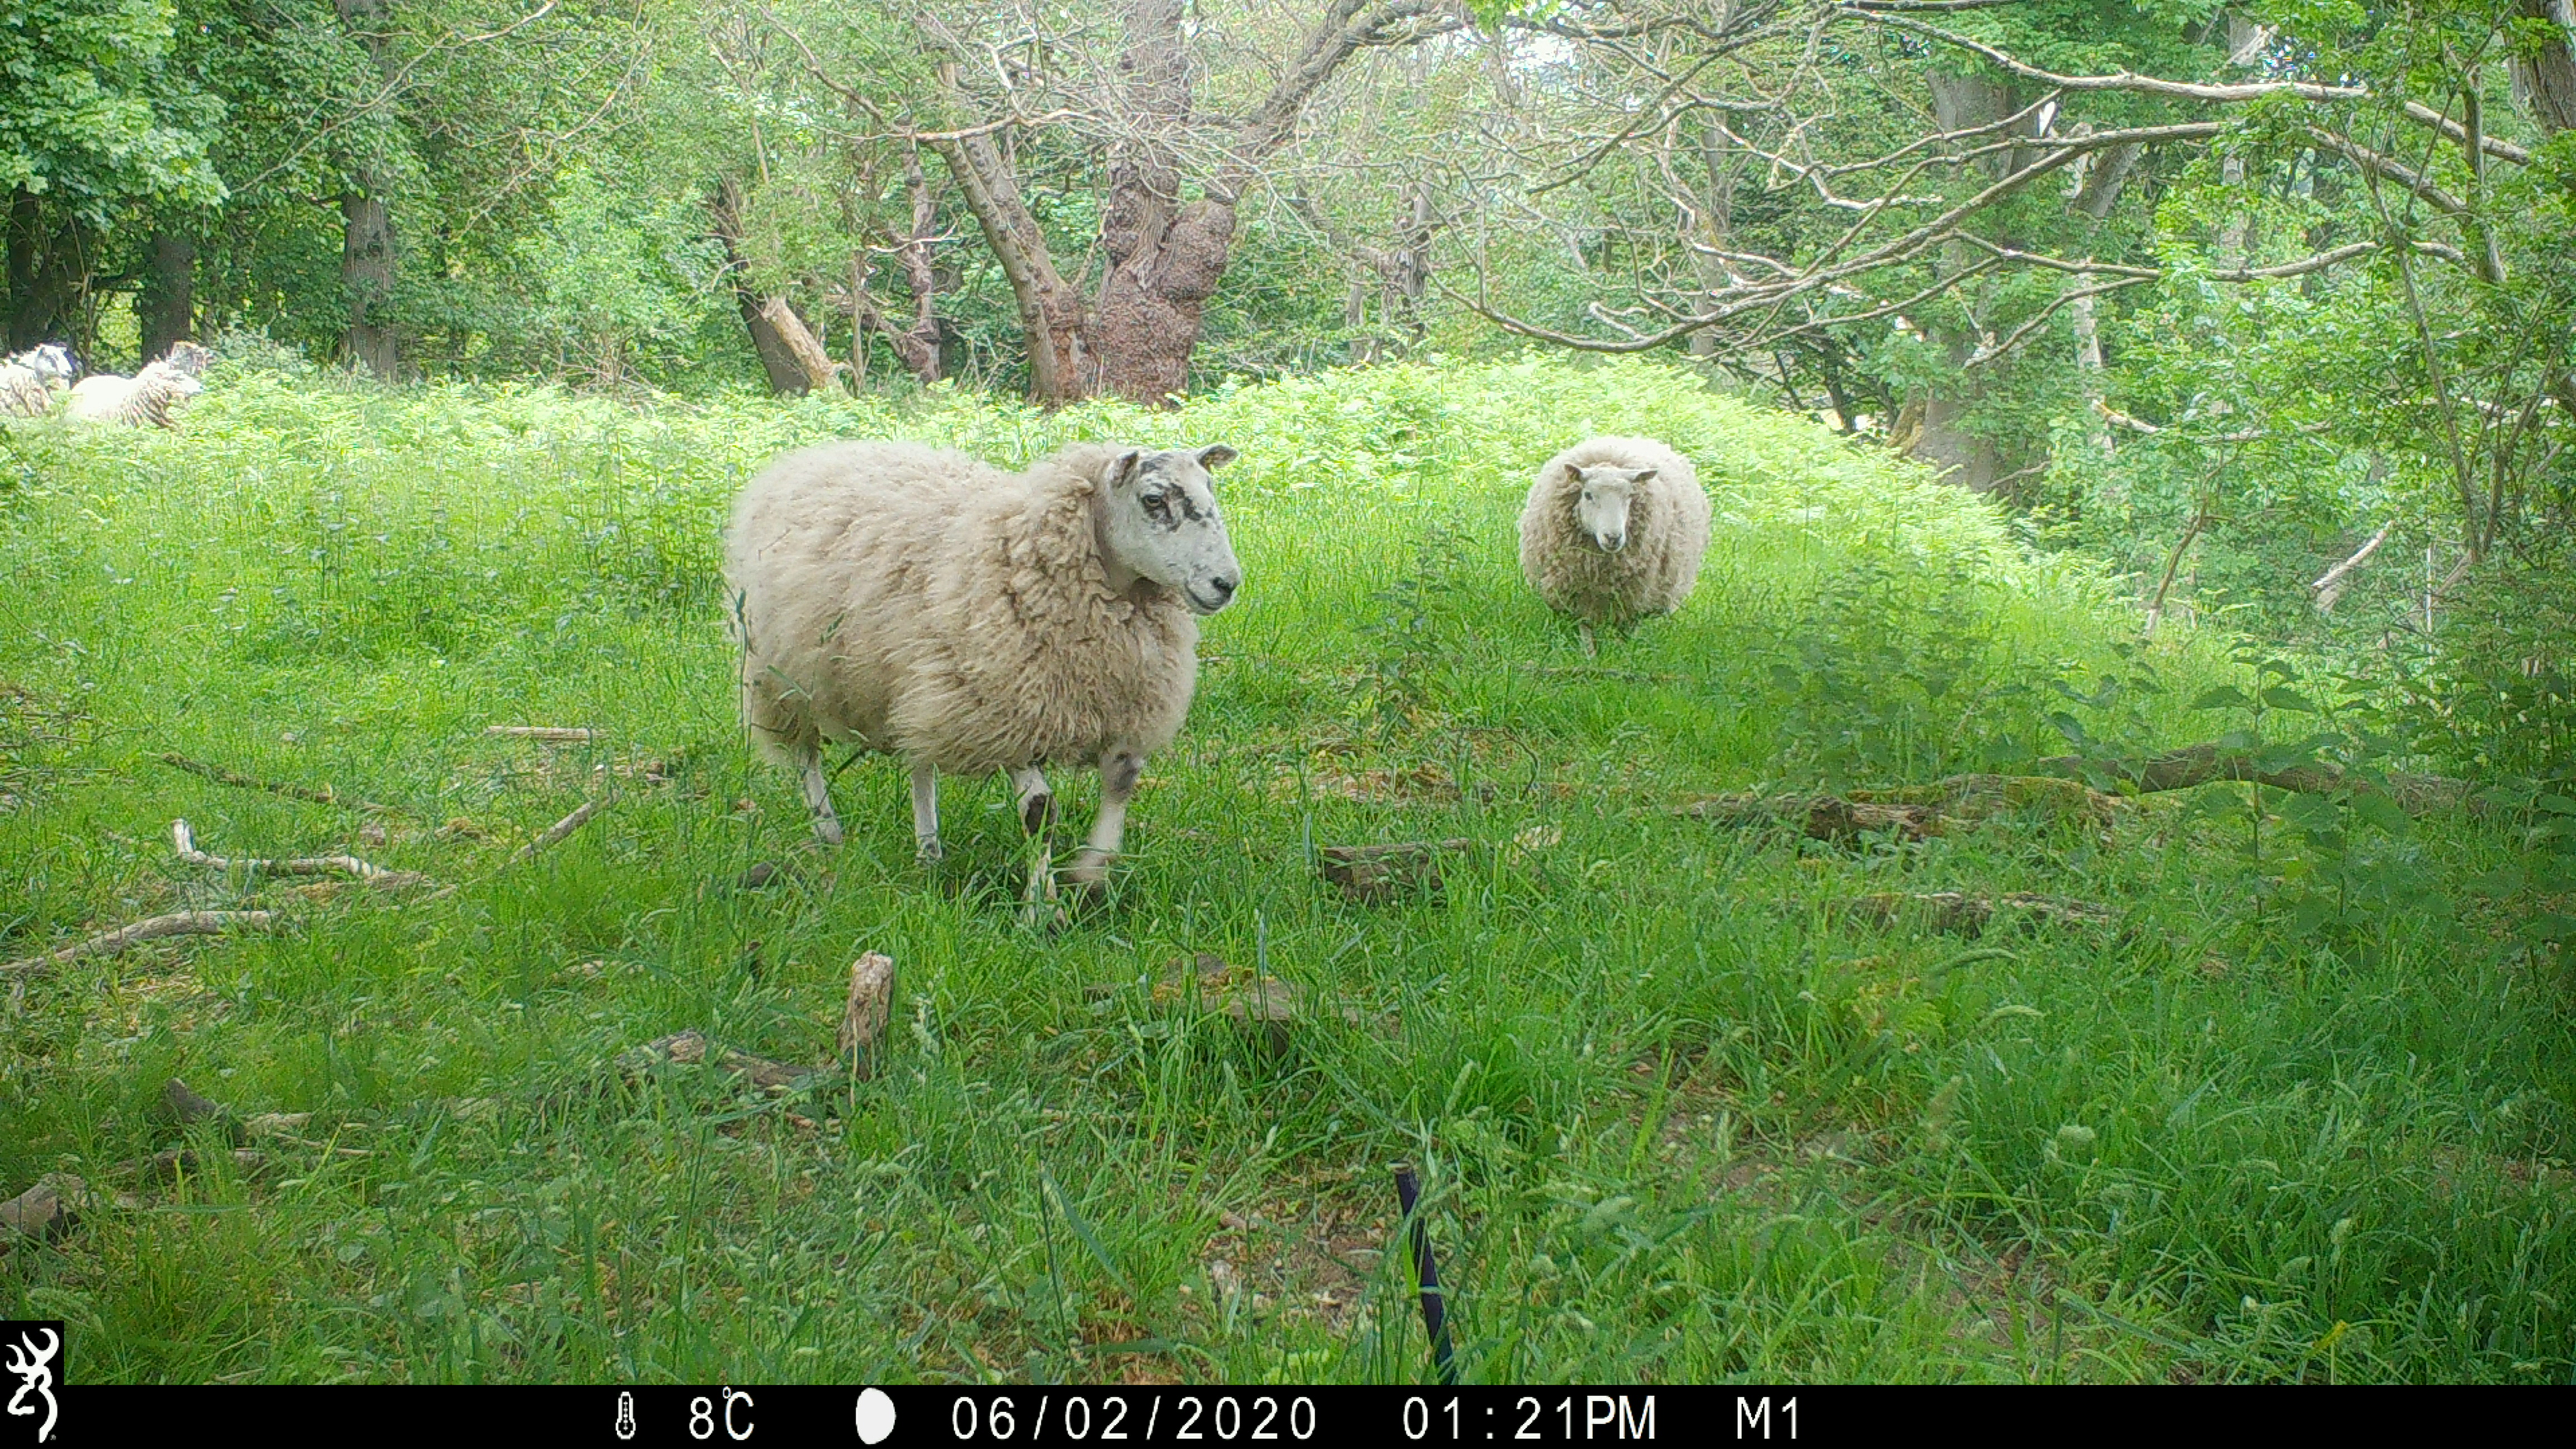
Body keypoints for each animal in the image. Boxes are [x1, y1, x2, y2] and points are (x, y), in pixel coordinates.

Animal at [726, 433, 1247, 887]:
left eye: (1211, 490)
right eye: (1154, 500)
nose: (1226, 584)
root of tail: (813, 455)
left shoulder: (1121, 708)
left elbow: (1122, 781)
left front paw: (1092, 873)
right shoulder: (1010, 711)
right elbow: (1040, 812)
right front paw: (1043, 909)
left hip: (918, 678)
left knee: (919, 759)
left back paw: (928, 850)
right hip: (779, 675)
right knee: (805, 755)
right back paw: (828, 831)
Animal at [1504, 433, 1710, 650]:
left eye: (1630, 496)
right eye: (1588, 495)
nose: (1613, 537)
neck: (1600, 572)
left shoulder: (1633, 600)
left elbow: (1625, 635)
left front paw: (1622, 654)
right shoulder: (1578, 596)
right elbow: (1587, 635)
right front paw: (1590, 655)